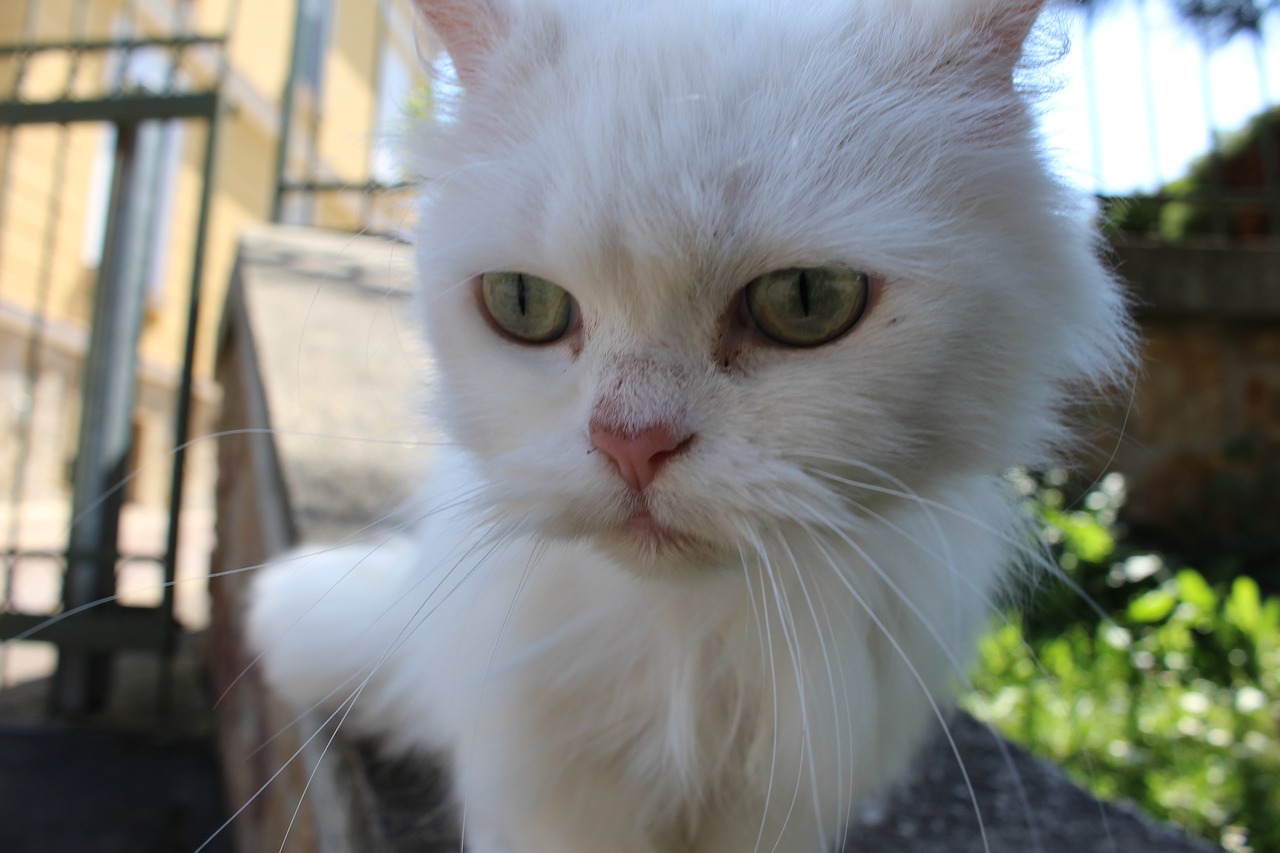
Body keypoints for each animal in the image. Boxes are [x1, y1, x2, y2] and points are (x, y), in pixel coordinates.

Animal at [247, 1, 1131, 850]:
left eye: (807, 298)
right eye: (523, 303)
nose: (631, 443)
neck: (689, 643)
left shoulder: (783, 799)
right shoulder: (552, 794)